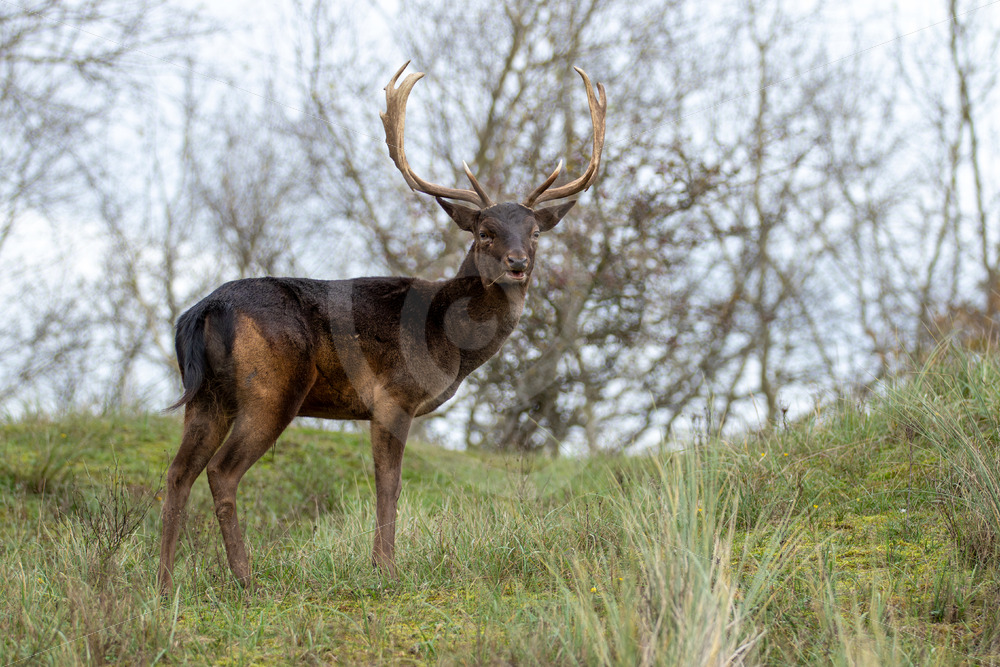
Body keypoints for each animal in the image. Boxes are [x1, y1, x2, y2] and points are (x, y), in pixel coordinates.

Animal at [156, 62, 606, 593]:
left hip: (207, 396)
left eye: (535, 232)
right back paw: (246, 581)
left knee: (178, 472)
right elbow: (388, 485)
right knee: (221, 471)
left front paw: (382, 564)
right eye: (484, 232)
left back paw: (163, 583)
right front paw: (387, 568)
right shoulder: (394, 395)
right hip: (271, 387)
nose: (517, 264)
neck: (451, 342)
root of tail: (203, 312)